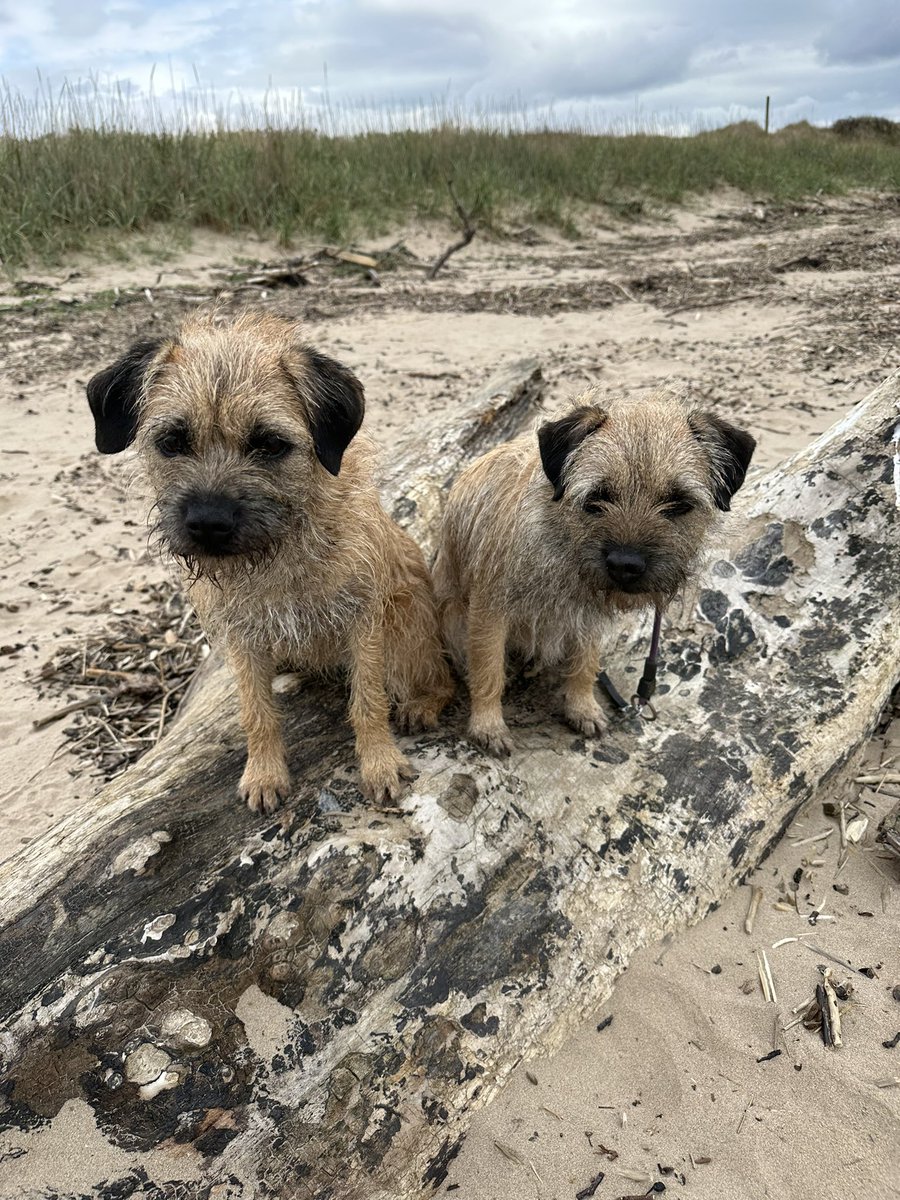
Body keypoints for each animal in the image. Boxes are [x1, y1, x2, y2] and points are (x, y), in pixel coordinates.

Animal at [88, 312, 453, 816]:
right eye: (173, 441)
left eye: (269, 444)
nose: (208, 522)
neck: (278, 554)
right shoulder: (242, 637)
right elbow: (256, 712)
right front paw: (264, 773)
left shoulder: (363, 623)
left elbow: (368, 700)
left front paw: (380, 763)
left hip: (407, 632)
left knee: (439, 679)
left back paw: (423, 705)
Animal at [434, 388, 758, 753]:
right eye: (597, 497)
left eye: (678, 503)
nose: (626, 565)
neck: (562, 547)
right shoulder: (490, 611)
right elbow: (488, 669)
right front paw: (488, 726)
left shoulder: (588, 617)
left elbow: (585, 664)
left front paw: (582, 707)